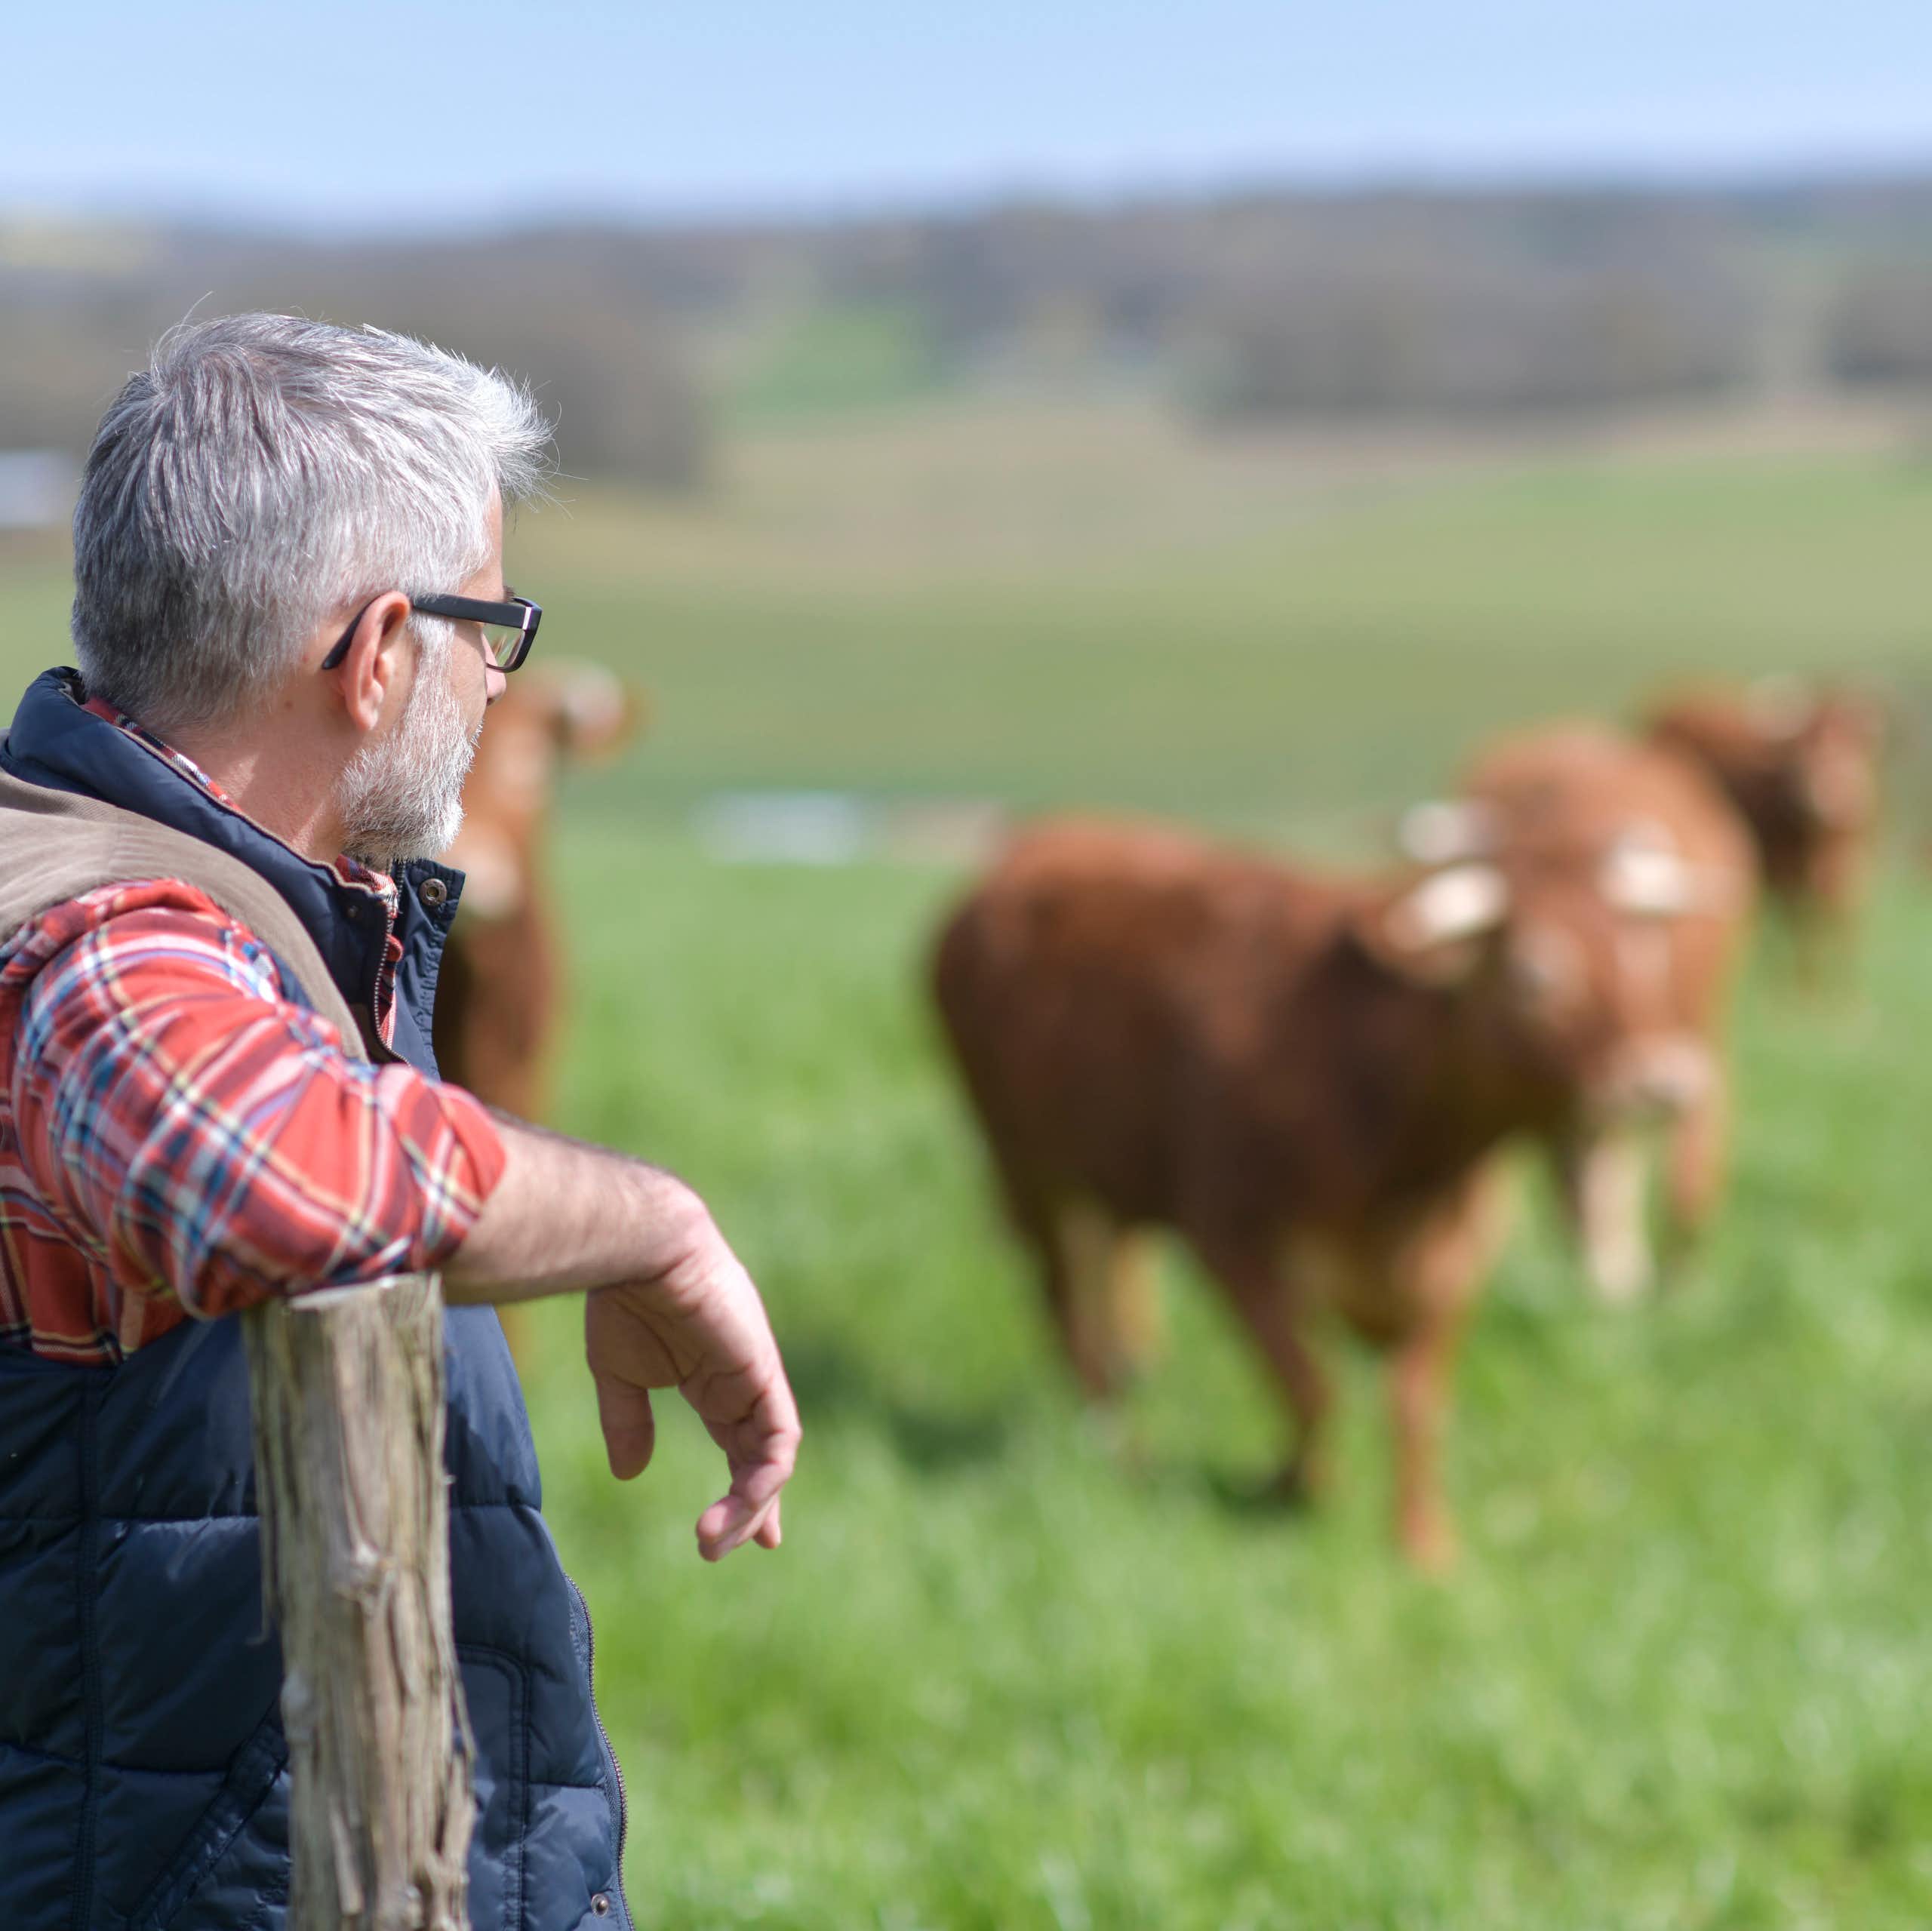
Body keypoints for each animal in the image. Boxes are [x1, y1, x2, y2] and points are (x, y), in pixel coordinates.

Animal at [930, 815, 1720, 1568]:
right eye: (1534, 974)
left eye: (1646, 954)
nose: (1665, 1079)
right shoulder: (1232, 1237)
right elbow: (1309, 1384)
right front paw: (1300, 1489)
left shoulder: (1459, 1259)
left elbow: (1416, 1404)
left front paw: (1424, 1543)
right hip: (1018, 1159)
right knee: (1062, 1302)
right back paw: (1116, 1441)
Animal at [1645, 681, 1884, 987]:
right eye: (1801, 747)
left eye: (1852, 746)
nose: (1824, 795)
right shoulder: (1787, 876)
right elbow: (1804, 929)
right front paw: (1806, 985)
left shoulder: (1849, 871)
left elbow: (1842, 926)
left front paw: (1844, 989)